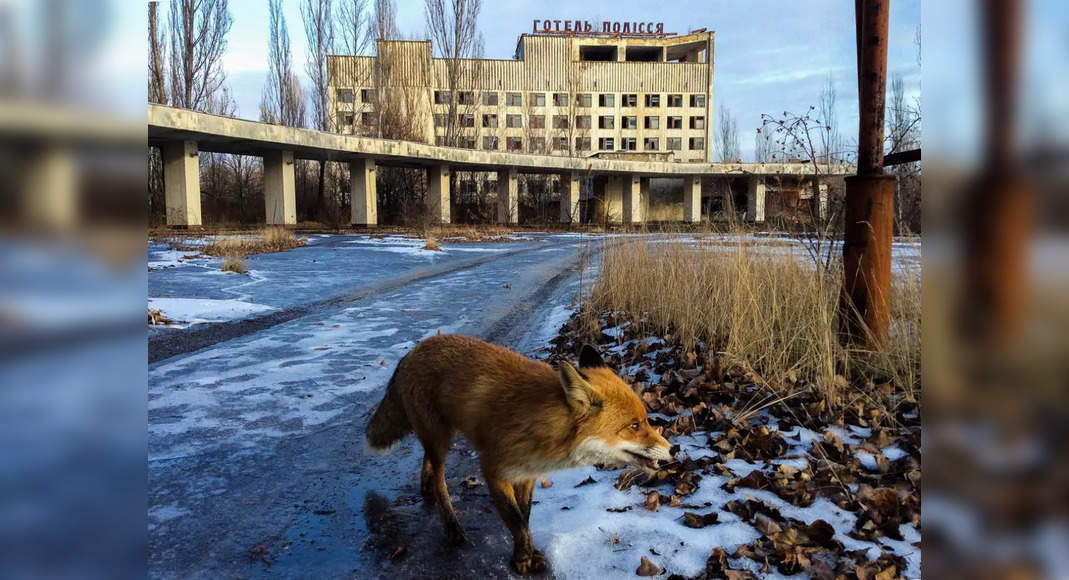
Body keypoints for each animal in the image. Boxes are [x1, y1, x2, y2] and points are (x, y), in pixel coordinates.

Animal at [363, 333, 671, 572]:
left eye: (646, 420)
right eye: (634, 425)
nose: (673, 448)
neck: (543, 426)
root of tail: (414, 350)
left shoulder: (528, 473)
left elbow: (525, 516)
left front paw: (529, 554)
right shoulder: (494, 470)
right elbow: (516, 521)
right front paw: (522, 560)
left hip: (440, 437)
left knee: (427, 461)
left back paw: (426, 487)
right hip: (440, 438)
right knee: (440, 481)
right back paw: (451, 525)